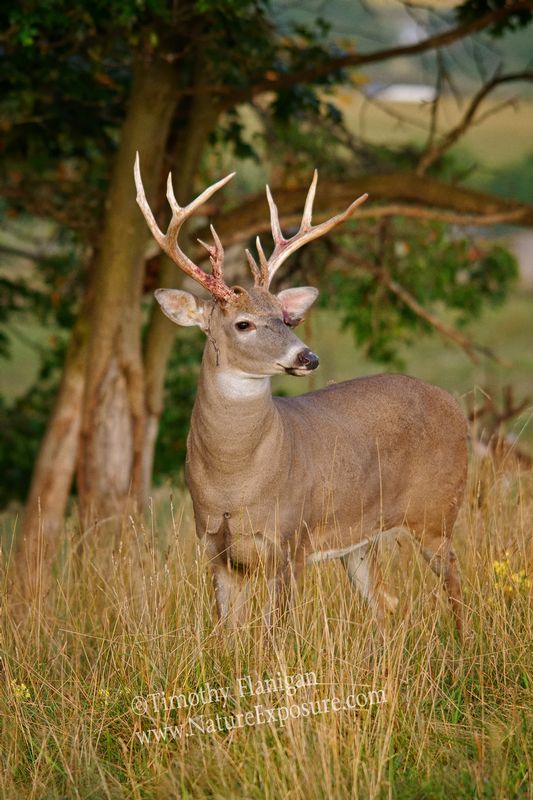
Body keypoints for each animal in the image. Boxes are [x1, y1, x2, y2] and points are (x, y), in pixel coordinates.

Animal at [134, 154, 468, 638]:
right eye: (243, 324)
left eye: (286, 317)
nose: (307, 357)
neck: (234, 483)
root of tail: (457, 408)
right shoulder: (216, 549)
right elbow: (228, 635)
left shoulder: (292, 538)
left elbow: (277, 632)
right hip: (360, 539)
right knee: (387, 603)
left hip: (437, 511)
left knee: (454, 581)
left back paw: (462, 643)